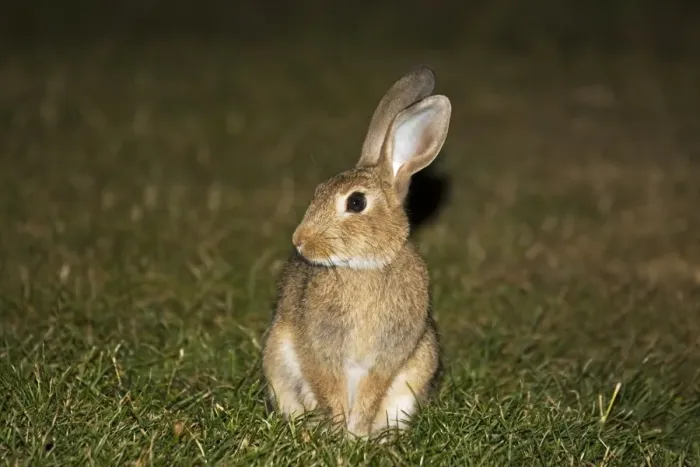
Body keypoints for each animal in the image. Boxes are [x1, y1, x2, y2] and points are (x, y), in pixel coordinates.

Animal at [261, 65, 451, 439]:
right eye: (319, 191)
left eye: (356, 203)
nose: (299, 240)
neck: (365, 266)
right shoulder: (319, 348)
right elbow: (328, 385)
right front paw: (341, 433)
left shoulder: (389, 355)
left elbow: (370, 391)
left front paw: (356, 434)